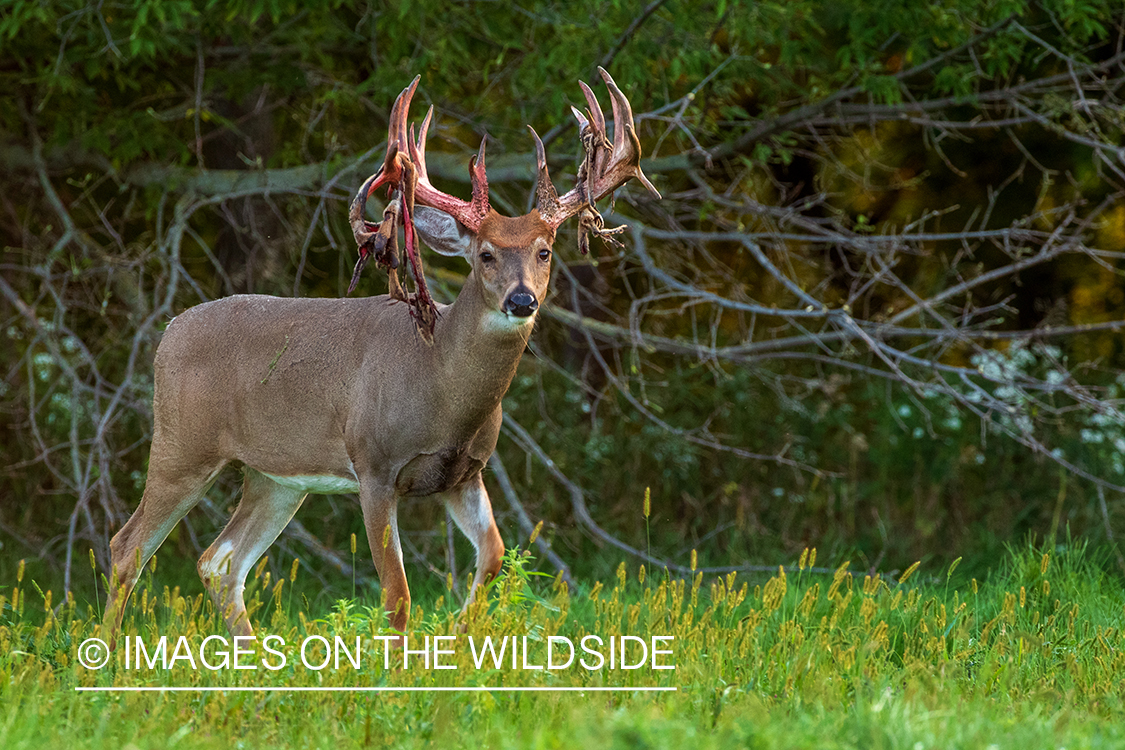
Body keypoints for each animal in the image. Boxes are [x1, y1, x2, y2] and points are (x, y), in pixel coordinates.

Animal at [103, 67, 657, 647]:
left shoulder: (464, 472)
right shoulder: (374, 465)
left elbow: (494, 556)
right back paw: (107, 653)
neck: (439, 385)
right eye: (484, 254)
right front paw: (399, 662)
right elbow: (397, 595)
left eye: (544, 251)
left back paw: (256, 657)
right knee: (129, 546)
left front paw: (458, 637)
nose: (521, 299)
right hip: (183, 444)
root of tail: (169, 331)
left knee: (221, 561)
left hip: (276, 476)